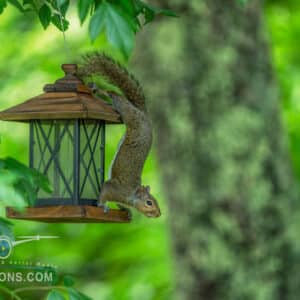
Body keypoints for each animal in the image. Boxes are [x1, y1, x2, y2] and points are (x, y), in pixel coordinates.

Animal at [78, 52, 161, 218]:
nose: (158, 214)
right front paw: (102, 205)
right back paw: (97, 89)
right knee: (115, 95)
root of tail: (144, 113)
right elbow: (104, 192)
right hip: (129, 114)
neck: (132, 195)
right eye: (149, 202)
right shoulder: (114, 189)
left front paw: (125, 210)